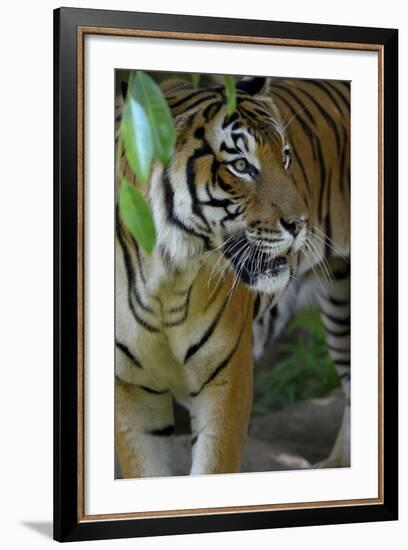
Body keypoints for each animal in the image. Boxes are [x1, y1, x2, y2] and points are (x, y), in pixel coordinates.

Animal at [115, 73, 350, 478]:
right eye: (241, 165)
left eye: (285, 157)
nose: (300, 224)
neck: (165, 281)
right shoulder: (129, 390)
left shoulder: (226, 379)